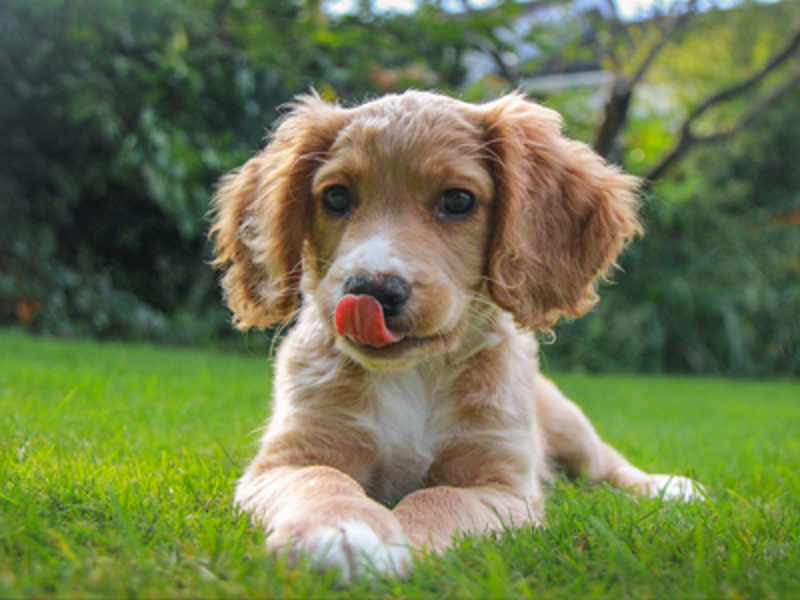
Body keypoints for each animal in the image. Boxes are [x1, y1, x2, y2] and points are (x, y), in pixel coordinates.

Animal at [209, 91, 704, 580]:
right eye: (335, 196)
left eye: (458, 201)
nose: (371, 290)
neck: (413, 374)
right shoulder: (289, 458)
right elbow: (322, 479)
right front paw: (339, 528)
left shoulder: (501, 485)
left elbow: (437, 498)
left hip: (570, 425)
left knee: (604, 463)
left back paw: (667, 488)